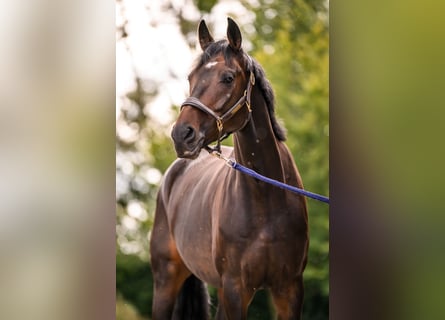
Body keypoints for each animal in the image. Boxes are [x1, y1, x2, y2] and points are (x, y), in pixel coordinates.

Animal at [151, 18, 306, 320]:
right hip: (166, 280)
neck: (268, 199)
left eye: (228, 78)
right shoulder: (236, 288)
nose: (181, 135)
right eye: (191, 78)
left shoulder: (289, 290)